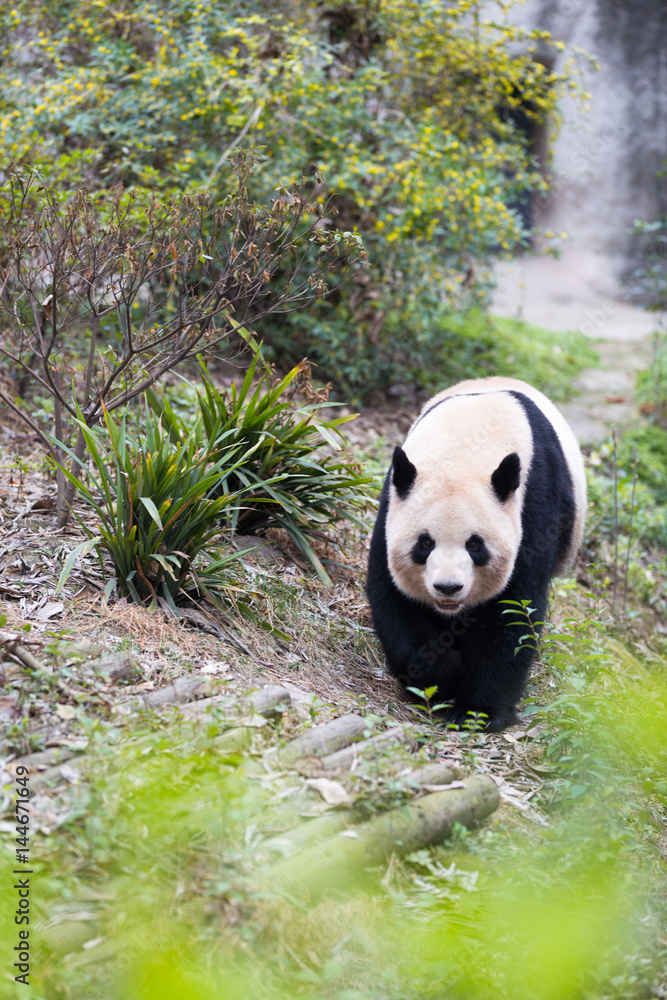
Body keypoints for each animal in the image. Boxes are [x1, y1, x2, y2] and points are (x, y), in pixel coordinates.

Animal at [368, 378, 588, 732]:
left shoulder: (534, 502)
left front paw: (475, 711)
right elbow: (394, 597)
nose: (448, 588)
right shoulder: (393, 500)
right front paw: (443, 678)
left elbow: (511, 608)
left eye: (475, 545)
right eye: (425, 543)